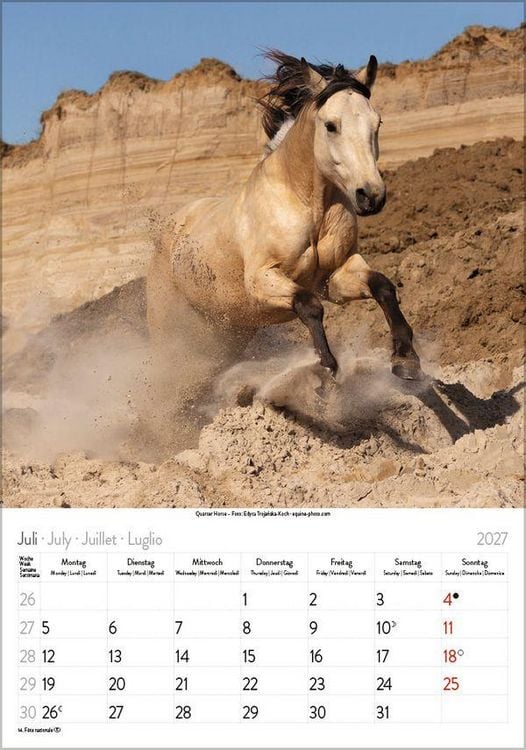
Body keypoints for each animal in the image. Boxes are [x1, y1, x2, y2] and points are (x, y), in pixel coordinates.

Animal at [146, 51, 422, 443]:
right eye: (331, 125)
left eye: (377, 122)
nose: (371, 196)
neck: (306, 203)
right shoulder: (263, 280)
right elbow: (309, 306)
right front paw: (327, 367)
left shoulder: (337, 276)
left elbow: (383, 286)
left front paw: (406, 361)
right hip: (173, 333)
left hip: (223, 337)